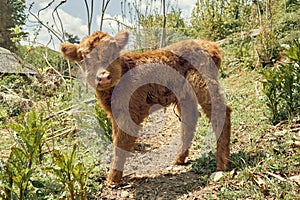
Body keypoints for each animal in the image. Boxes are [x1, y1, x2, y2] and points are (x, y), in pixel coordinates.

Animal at [59, 30, 231, 186]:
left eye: (113, 53)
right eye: (85, 58)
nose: (103, 77)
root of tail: (208, 44)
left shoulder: (130, 114)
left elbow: (120, 144)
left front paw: (112, 180)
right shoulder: (114, 116)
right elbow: (115, 140)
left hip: (203, 82)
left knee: (221, 112)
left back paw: (222, 164)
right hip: (185, 95)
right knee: (190, 120)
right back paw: (179, 159)